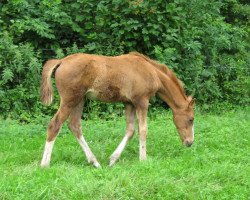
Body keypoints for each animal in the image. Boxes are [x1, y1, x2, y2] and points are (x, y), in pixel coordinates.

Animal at [40, 52, 195, 168]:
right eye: (191, 119)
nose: (189, 142)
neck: (151, 71)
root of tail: (61, 61)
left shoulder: (129, 103)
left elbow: (130, 130)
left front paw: (113, 159)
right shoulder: (142, 102)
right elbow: (143, 130)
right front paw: (143, 159)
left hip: (80, 100)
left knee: (74, 125)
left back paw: (95, 162)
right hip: (70, 100)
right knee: (55, 124)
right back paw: (44, 164)